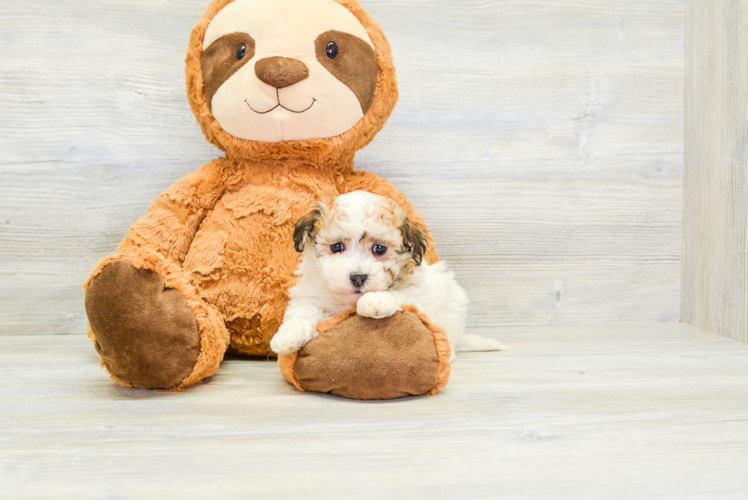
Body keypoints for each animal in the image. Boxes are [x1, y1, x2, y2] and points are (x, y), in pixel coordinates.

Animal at [266, 189, 506, 358]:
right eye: (337, 247)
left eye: (379, 249)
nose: (358, 277)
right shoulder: (310, 296)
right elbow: (301, 312)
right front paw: (287, 337)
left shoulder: (418, 292)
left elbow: (399, 295)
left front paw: (375, 301)